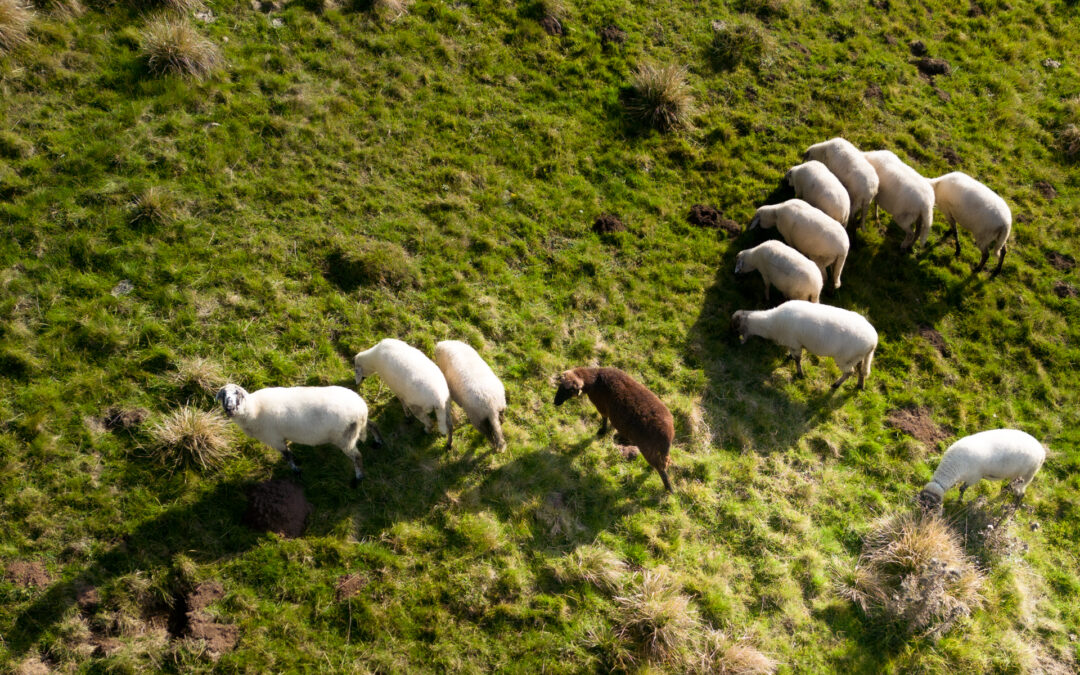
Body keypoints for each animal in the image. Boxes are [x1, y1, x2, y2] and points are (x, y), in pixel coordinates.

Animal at [214, 382, 380, 486]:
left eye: (238, 394)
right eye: (223, 395)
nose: (229, 408)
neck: (253, 410)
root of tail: (361, 410)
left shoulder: (274, 439)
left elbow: (287, 455)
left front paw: (296, 470)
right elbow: (289, 453)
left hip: (344, 438)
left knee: (357, 457)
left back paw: (358, 479)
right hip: (353, 431)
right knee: (373, 425)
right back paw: (378, 442)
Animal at [734, 300, 876, 388]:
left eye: (736, 327)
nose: (733, 341)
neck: (770, 324)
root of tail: (873, 341)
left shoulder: (795, 343)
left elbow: (797, 359)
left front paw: (800, 374)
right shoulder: (793, 344)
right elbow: (792, 355)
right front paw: (789, 357)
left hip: (844, 358)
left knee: (850, 372)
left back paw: (836, 385)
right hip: (858, 357)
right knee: (861, 370)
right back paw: (860, 385)